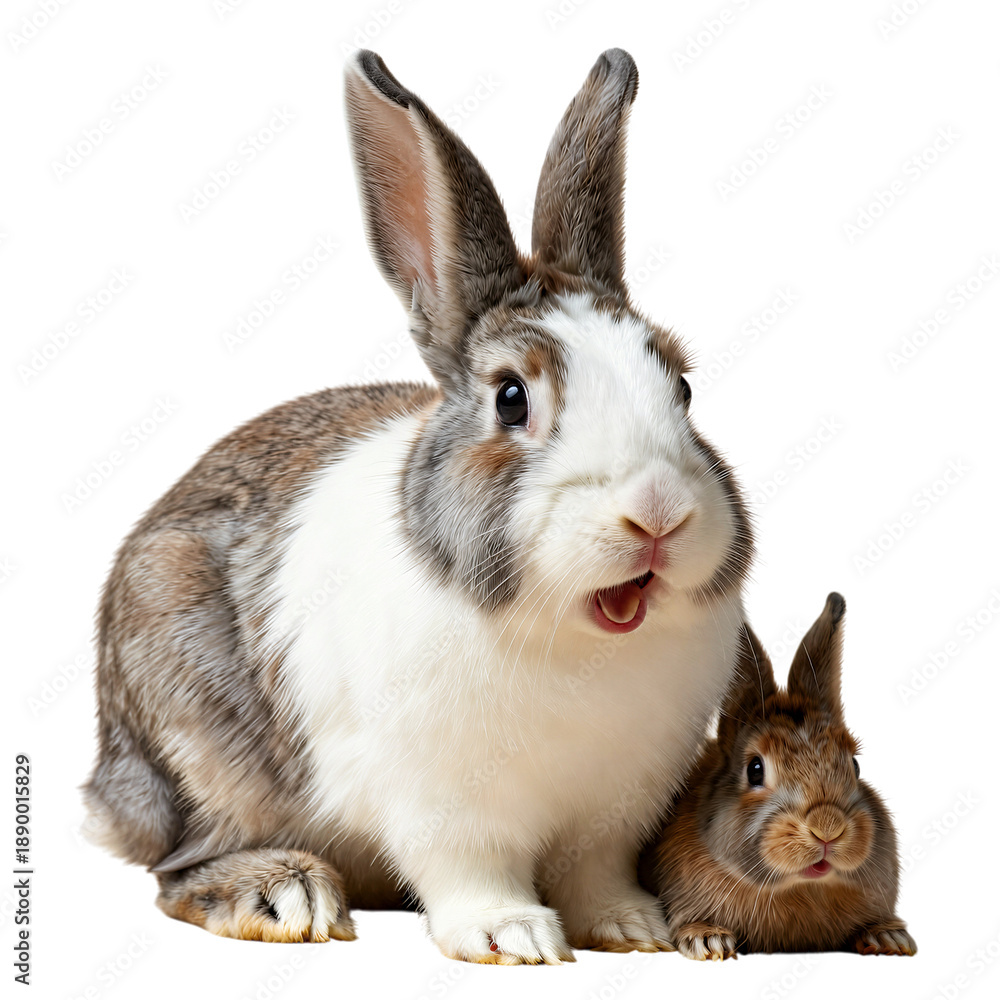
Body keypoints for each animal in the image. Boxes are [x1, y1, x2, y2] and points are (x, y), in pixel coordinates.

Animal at [82, 48, 754, 965]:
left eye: (681, 388)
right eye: (511, 399)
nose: (657, 512)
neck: (578, 639)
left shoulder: (613, 813)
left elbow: (595, 874)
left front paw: (632, 929)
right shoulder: (444, 802)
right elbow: (471, 869)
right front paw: (515, 938)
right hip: (195, 738)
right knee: (178, 869)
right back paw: (285, 893)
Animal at [644, 593, 917, 960]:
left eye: (855, 765)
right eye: (755, 769)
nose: (827, 828)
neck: (800, 887)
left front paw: (890, 937)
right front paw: (708, 940)